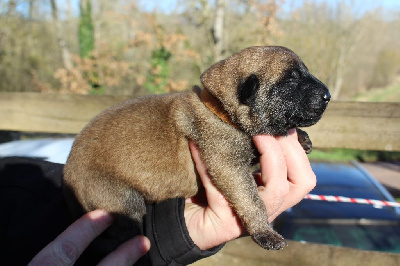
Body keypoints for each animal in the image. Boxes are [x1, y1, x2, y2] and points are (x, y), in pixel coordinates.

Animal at [63, 44, 332, 250]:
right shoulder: (228, 166)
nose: (328, 96)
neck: (220, 112)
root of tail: (67, 173)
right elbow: (251, 200)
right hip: (120, 198)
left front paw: (301, 137)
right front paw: (264, 231)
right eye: (291, 79)